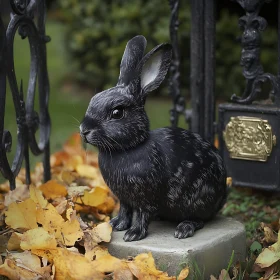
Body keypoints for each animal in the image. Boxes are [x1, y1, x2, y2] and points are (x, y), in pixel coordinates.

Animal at [80, 35, 229, 241]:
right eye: (93, 100)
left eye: (117, 113)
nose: (84, 130)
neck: (130, 147)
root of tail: (222, 196)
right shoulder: (124, 198)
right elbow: (125, 210)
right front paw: (116, 225)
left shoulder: (146, 197)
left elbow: (142, 214)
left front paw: (133, 234)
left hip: (197, 199)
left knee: (200, 219)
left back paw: (183, 229)